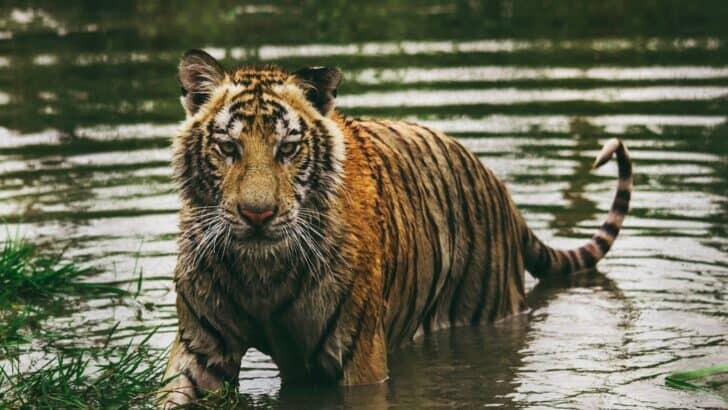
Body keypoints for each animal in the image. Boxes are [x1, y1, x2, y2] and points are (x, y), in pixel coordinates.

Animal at [158, 49, 633, 407]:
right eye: (228, 147)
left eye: (288, 149)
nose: (257, 214)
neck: (261, 272)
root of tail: (502, 190)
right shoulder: (201, 349)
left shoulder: (356, 357)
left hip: (486, 311)